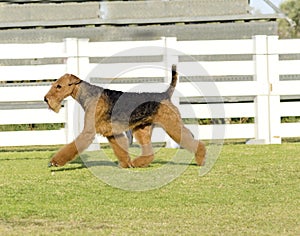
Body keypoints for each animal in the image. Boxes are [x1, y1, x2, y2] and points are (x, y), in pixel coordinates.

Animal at [44, 64, 205, 168]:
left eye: (59, 86)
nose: (46, 99)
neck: (89, 95)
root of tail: (165, 94)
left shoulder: (88, 132)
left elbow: (72, 147)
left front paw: (55, 161)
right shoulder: (111, 132)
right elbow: (120, 150)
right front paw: (125, 164)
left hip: (171, 125)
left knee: (195, 142)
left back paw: (201, 159)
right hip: (142, 129)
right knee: (149, 153)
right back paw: (136, 163)